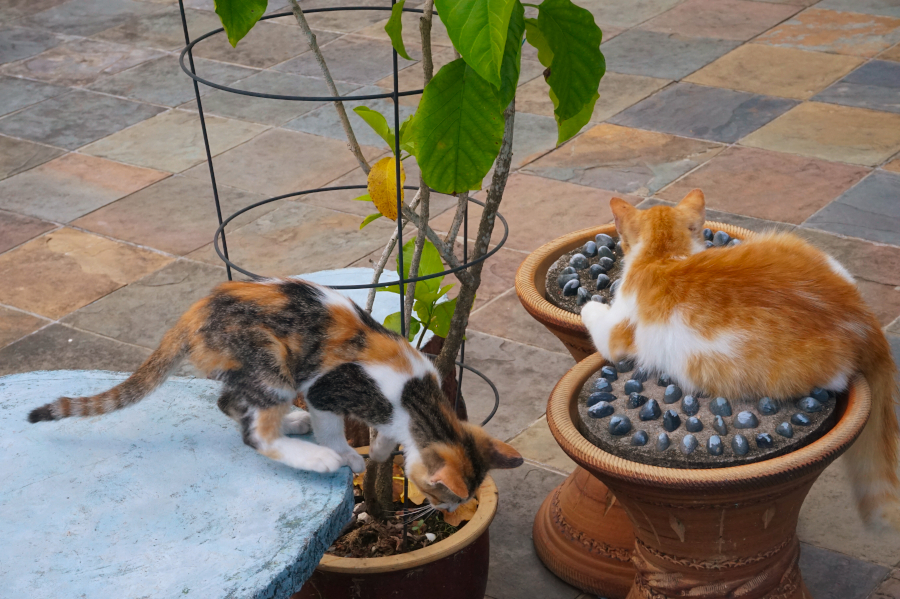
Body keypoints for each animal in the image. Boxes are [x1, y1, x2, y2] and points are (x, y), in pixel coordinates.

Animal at [29, 278, 520, 510]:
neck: (418, 399)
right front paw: (349, 455)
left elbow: (386, 436)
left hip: (249, 368)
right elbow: (333, 429)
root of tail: (195, 312)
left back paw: (292, 422)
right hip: (274, 364)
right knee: (255, 433)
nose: (440, 512)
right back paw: (312, 454)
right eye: (443, 496)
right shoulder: (328, 390)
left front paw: (381, 449)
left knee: (228, 401)